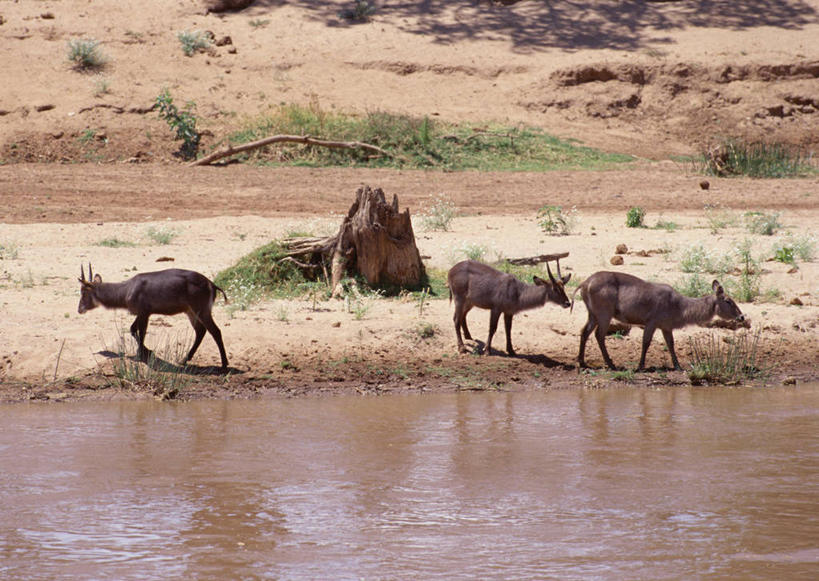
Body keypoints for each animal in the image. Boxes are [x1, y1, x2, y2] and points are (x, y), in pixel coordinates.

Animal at [77, 262, 231, 368]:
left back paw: (224, 364)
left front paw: (143, 354)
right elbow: (133, 329)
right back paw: (184, 360)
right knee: (201, 331)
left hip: (201, 310)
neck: (127, 290)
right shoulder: (142, 313)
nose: (79, 309)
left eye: (83, 292)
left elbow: (141, 332)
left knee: (215, 331)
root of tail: (211, 284)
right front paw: (146, 352)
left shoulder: (144, 313)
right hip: (190, 311)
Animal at [572, 270, 748, 370]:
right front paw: (641, 365)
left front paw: (677, 366)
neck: (679, 306)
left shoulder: (666, 327)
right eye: (728, 300)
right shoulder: (652, 322)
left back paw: (582, 362)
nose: (741, 317)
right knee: (599, 335)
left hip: (593, 314)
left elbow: (671, 344)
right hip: (604, 314)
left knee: (584, 332)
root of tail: (585, 282)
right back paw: (610, 364)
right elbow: (646, 342)